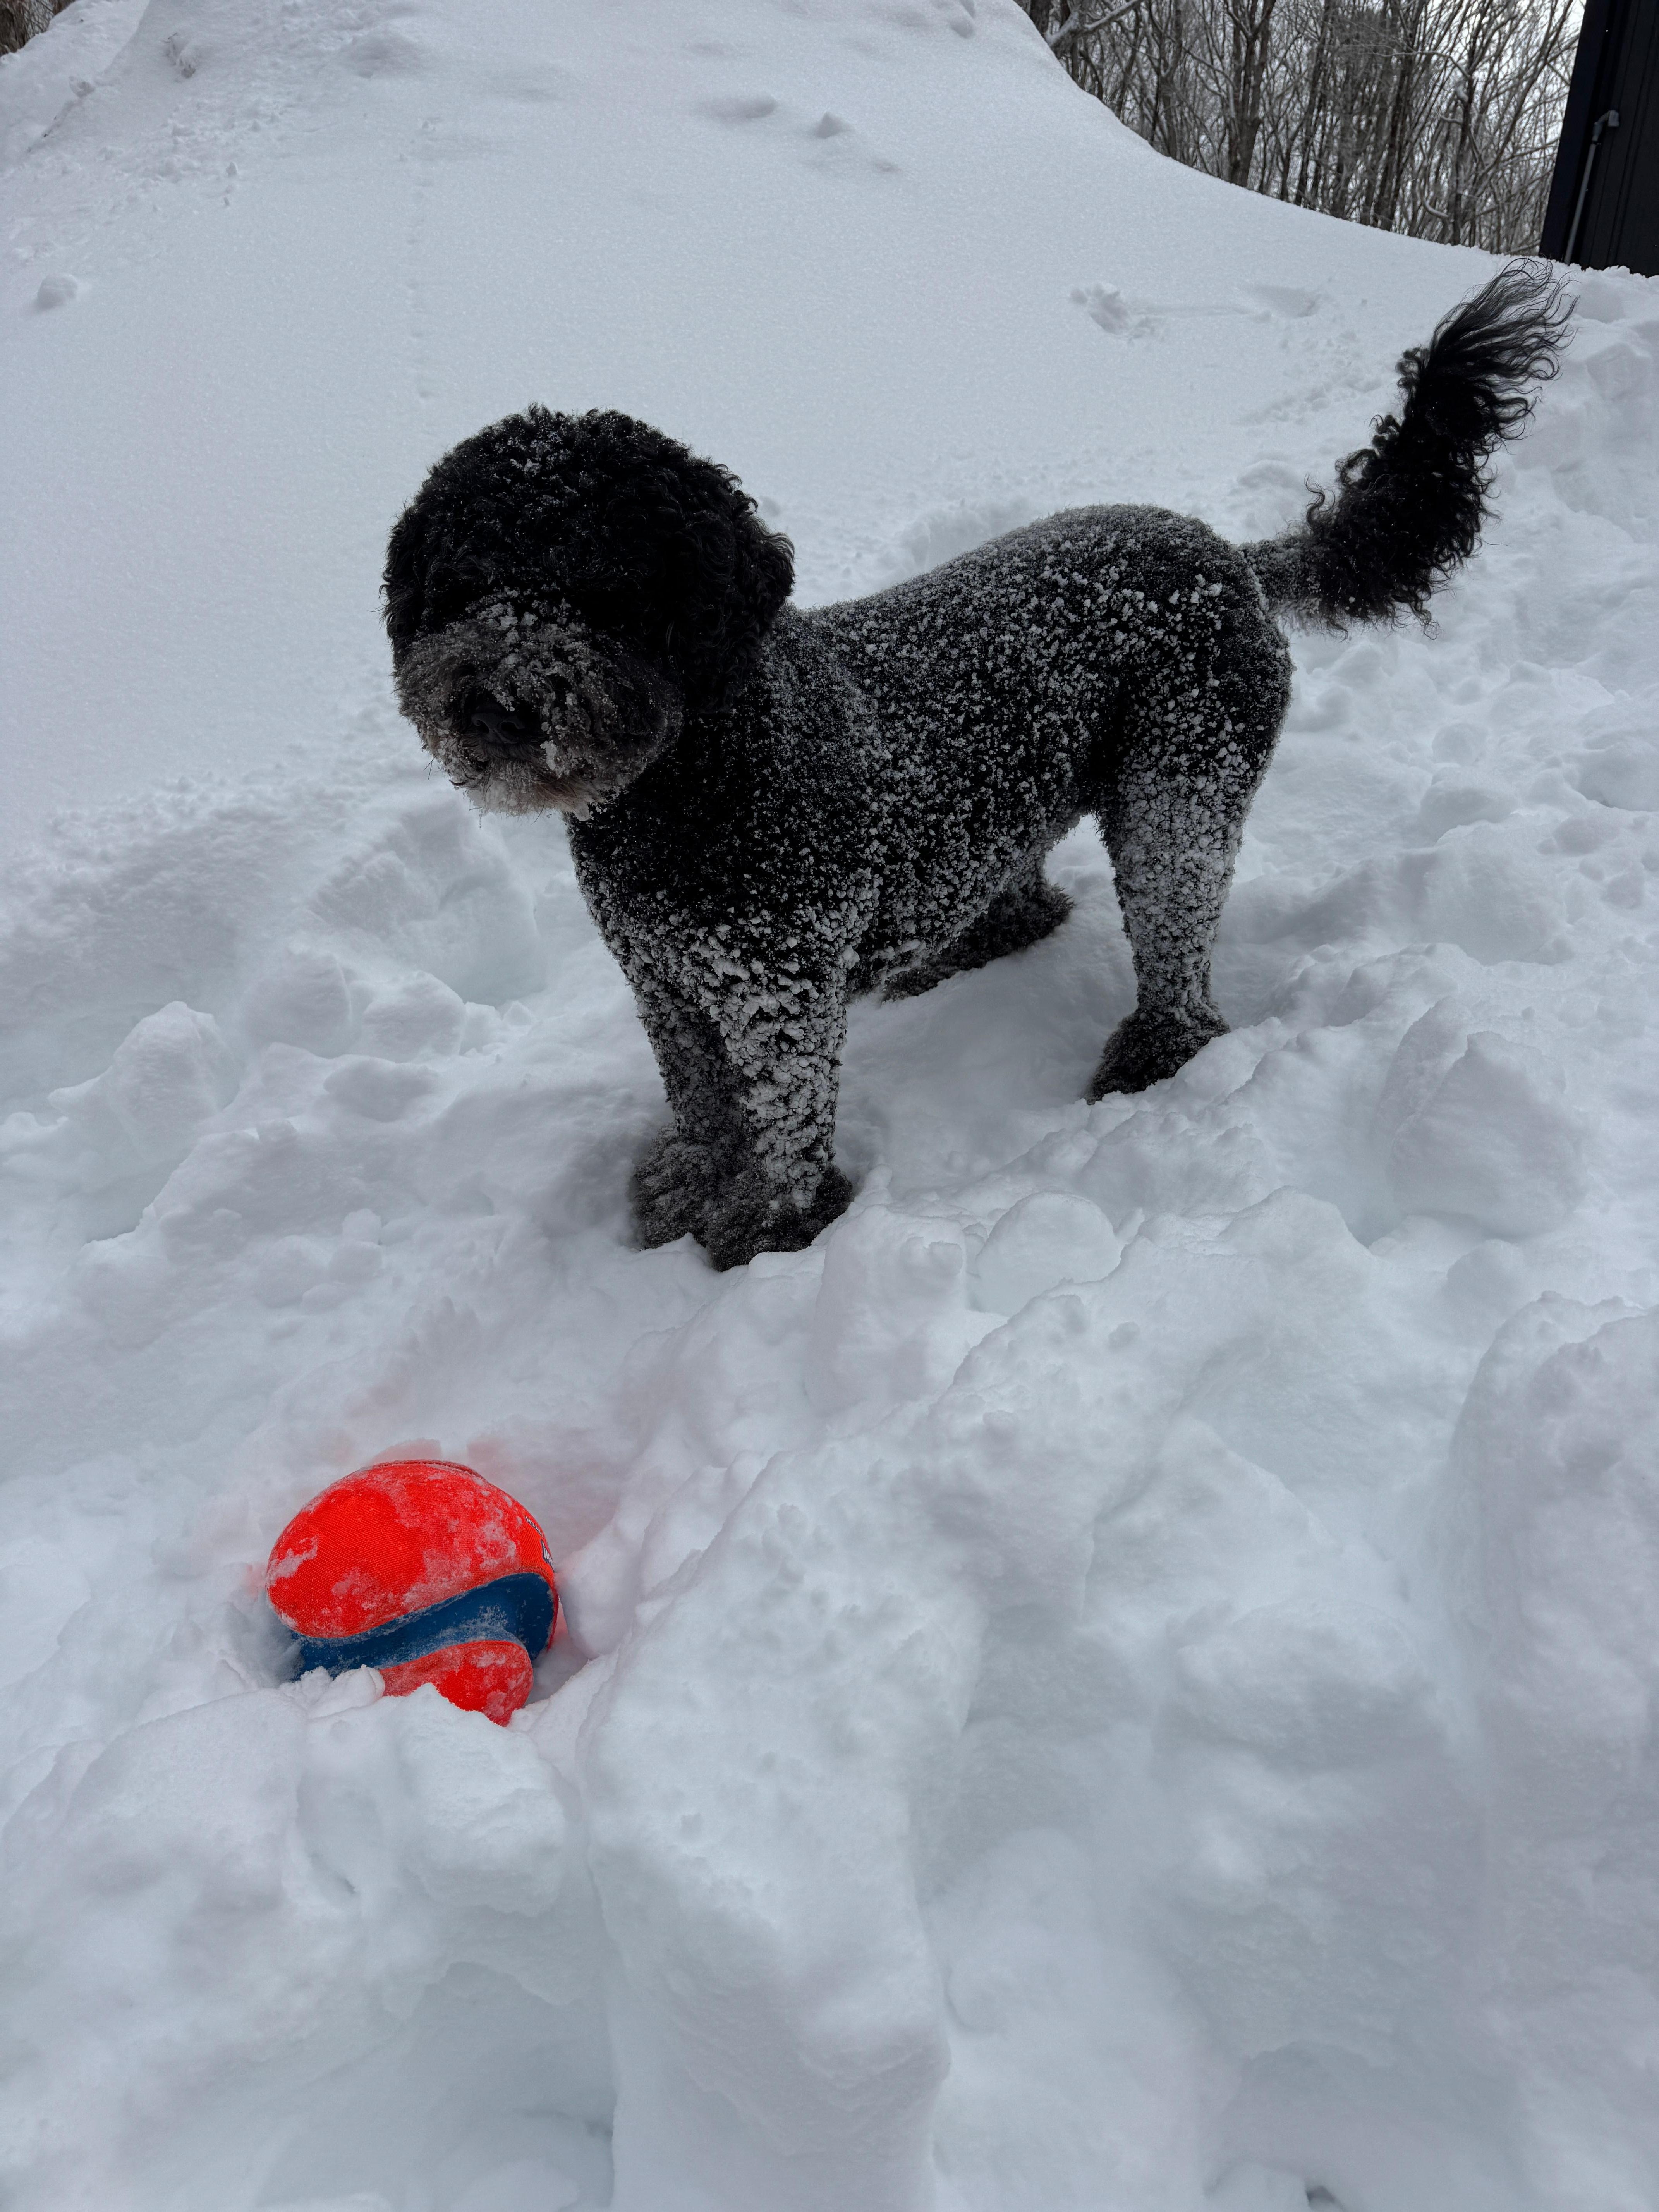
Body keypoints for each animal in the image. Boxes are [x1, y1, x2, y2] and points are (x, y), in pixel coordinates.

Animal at [385, 263, 1568, 1270]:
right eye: (463, 584)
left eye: (606, 591)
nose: (493, 702)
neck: (694, 780)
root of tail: (1228, 556)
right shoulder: (666, 980)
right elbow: (701, 1099)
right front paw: (693, 1181)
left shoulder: (777, 992)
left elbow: (779, 1122)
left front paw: (774, 1226)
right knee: (1030, 892)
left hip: (1176, 798)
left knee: (1179, 952)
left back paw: (1157, 1051)